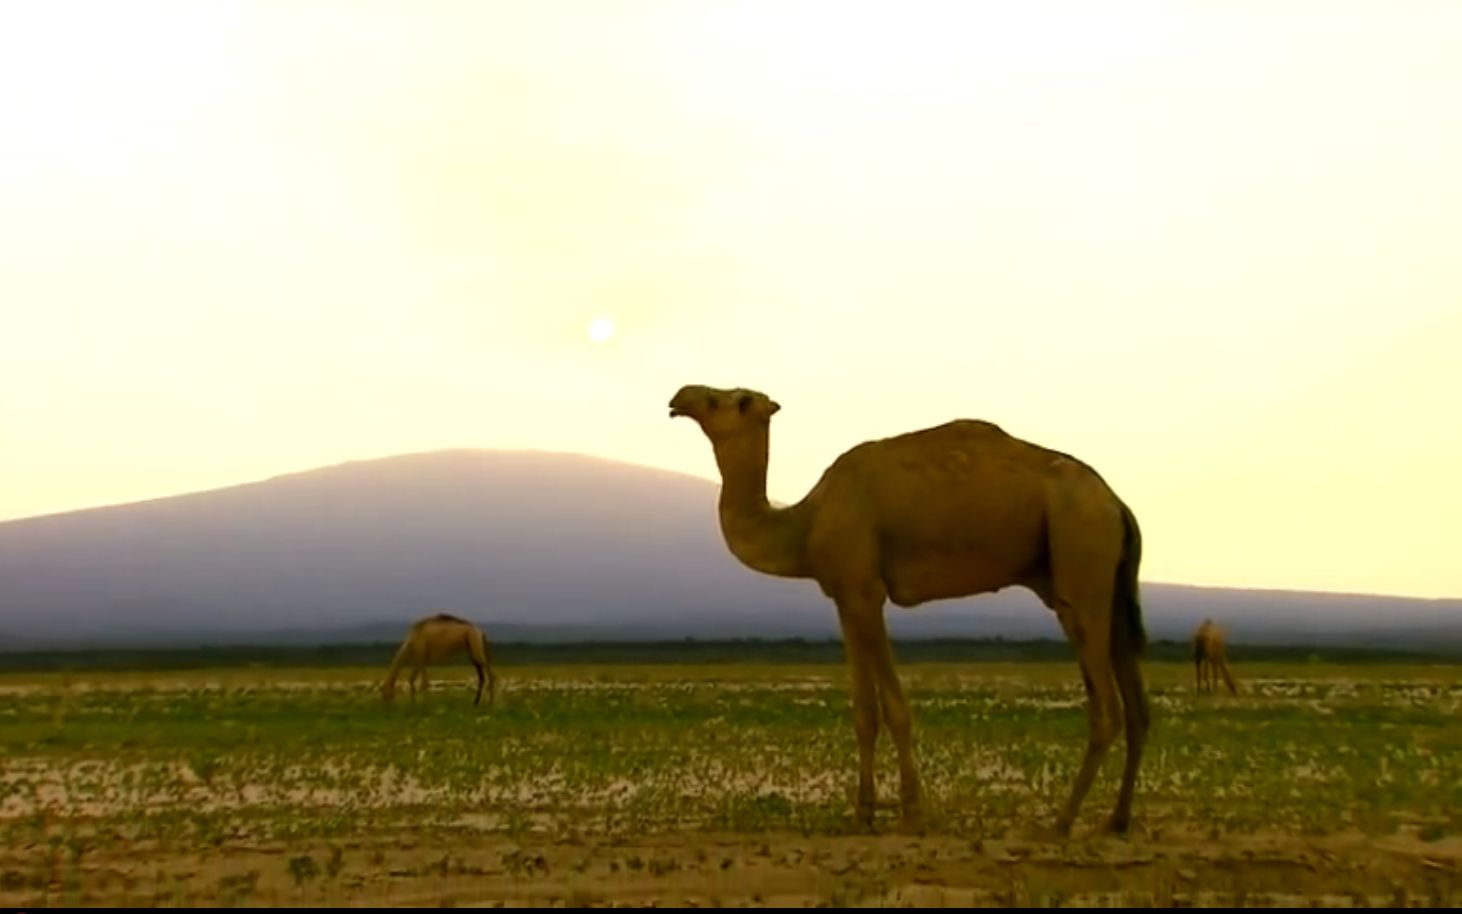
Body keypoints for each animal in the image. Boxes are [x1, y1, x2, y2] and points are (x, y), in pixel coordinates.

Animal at [669, 383, 1146, 836]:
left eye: (731, 400)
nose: (679, 398)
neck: (804, 523)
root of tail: (1117, 504)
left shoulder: (866, 591)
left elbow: (896, 709)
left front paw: (912, 813)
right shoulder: (844, 596)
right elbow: (863, 712)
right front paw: (862, 815)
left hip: (1079, 552)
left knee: (1105, 707)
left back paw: (1060, 823)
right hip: (1109, 584)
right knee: (1137, 704)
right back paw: (1116, 821)